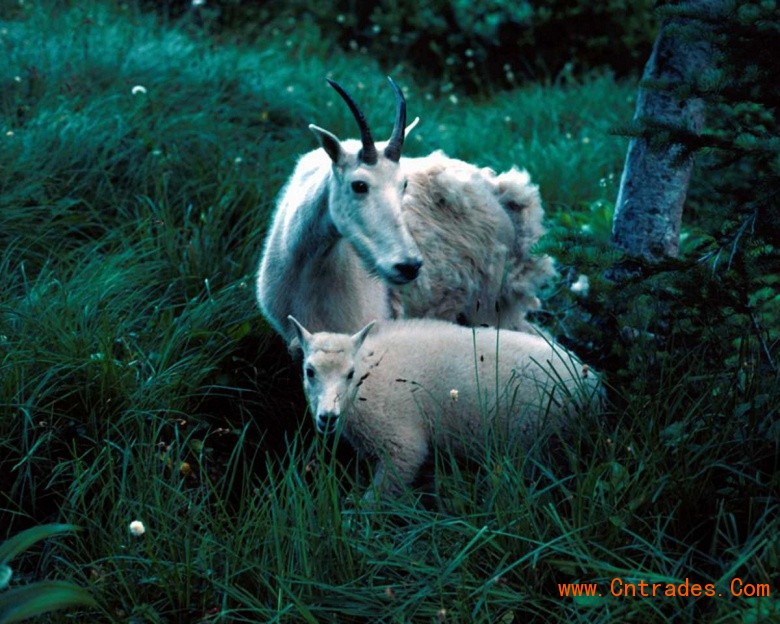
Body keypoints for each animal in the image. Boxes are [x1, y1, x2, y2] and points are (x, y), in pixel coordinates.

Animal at [256, 77, 556, 346]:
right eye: (359, 184)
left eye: (404, 184)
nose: (409, 266)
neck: (309, 265)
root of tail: (500, 191)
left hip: (489, 306)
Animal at [290, 316, 600, 502]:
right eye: (309, 371)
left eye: (350, 373)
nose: (327, 418)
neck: (369, 380)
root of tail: (593, 384)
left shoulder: (402, 446)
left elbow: (376, 499)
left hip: (540, 439)